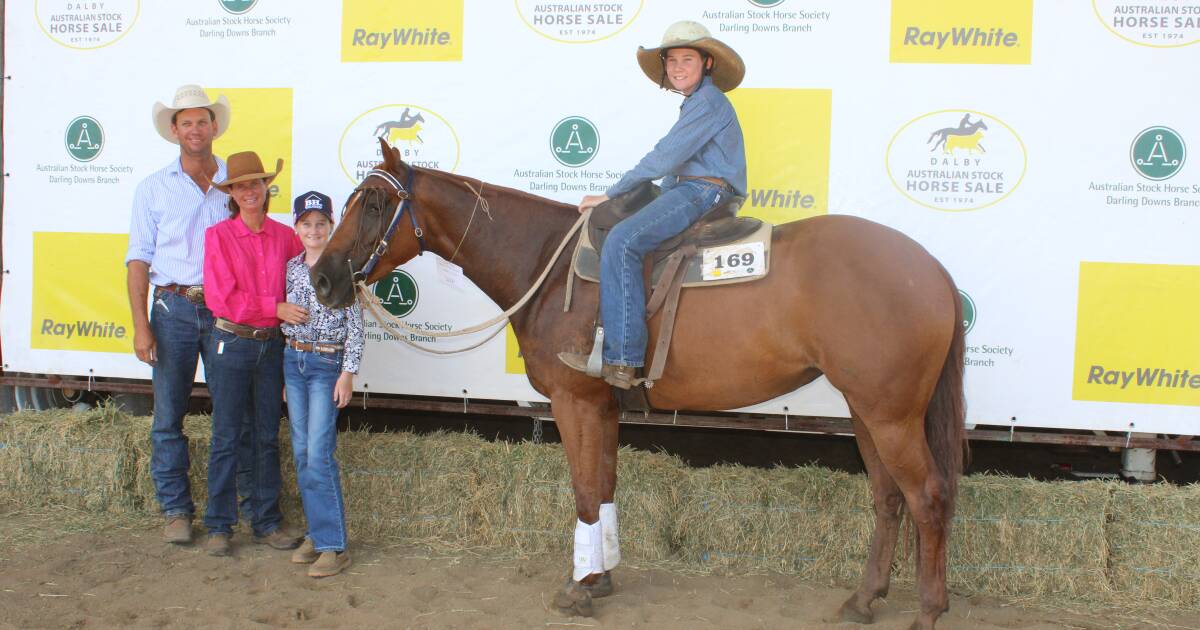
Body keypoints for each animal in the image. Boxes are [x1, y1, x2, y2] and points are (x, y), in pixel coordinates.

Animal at [312, 139, 964, 624]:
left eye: (374, 203)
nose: (321, 278)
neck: (546, 264)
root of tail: (932, 269)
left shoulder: (574, 402)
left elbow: (582, 490)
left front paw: (579, 587)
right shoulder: (602, 405)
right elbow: (603, 485)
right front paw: (600, 576)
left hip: (891, 415)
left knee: (928, 497)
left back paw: (929, 610)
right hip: (865, 409)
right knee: (888, 499)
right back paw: (864, 599)